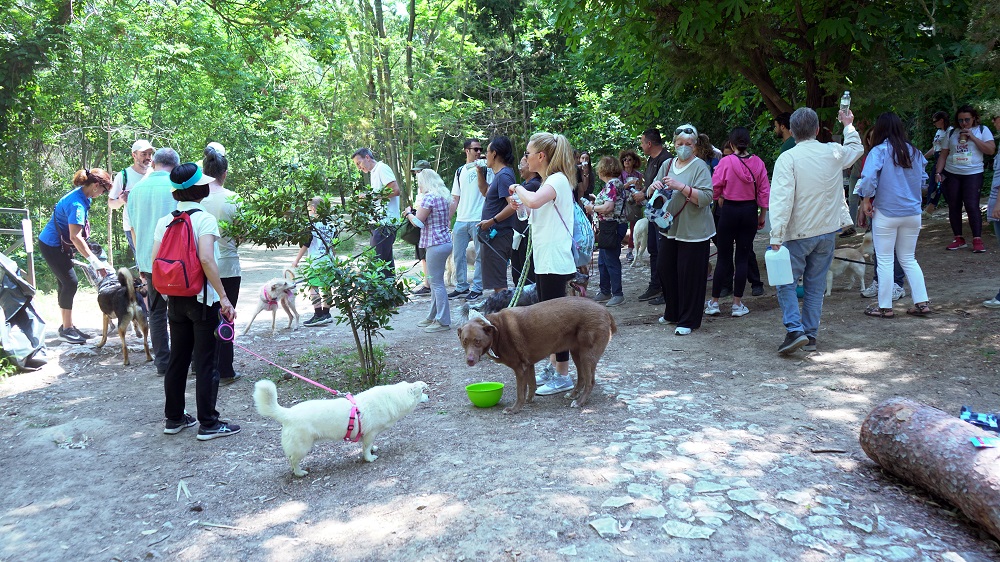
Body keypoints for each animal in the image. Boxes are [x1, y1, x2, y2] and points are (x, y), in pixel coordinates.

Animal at [252, 378, 428, 474]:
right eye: (422, 392)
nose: (428, 396)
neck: (395, 398)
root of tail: (287, 414)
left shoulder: (368, 435)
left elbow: (369, 445)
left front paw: (373, 449)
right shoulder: (370, 433)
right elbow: (365, 448)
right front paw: (369, 458)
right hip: (302, 447)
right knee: (293, 460)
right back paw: (300, 473)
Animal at [460, 298, 616, 412]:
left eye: (478, 341)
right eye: (464, 342)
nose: (470, 360)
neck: (497, 330)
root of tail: (605, 311)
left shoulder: (519, 368)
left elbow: (520, 391)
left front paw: (515, 409)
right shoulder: (528, 364)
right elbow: (532, 384)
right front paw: (529, 400)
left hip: (587, 355)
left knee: (590, 381)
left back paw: (579, 402)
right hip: (577, 352)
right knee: (582, 377)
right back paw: (573, 395)